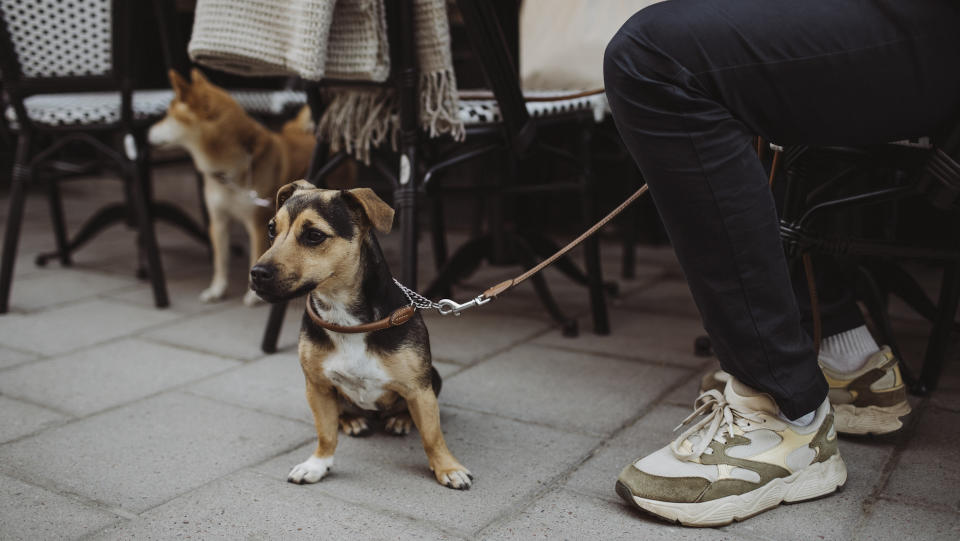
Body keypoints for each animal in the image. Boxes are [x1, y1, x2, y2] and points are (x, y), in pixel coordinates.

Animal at [148, 69, 316, 306]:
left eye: (168, 116)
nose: (147, 131)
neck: (227, 173)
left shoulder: (257, 223)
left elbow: (254, 256)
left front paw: (252, 295)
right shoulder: (218, 220)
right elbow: (220, 260)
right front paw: (217, 289)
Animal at [248, 180, 472, 490]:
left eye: (314, 235)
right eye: (272, 229)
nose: (257, 273)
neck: (343, 316)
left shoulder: (419, 390)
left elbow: (432, 435)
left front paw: (448, 468)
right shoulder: (317, 386)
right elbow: (326, 434)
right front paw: (318, 464)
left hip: (433, 377)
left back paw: (400, 419)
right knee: (342, 413)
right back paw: (352, 420)